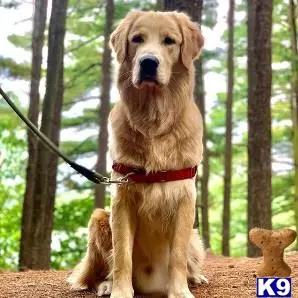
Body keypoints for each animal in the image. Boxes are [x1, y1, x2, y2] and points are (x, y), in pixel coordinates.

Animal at [68, 10, 206, 296]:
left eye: (169, 41)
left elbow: (178, 255)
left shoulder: (185, 200)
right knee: (98, 272)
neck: (154, 118)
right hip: (99, 218)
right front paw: (120, 290)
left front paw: (180, 290)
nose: (148, 62)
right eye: (137, 39)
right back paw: (106, 284)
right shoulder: (122, 198)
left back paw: (195, 277)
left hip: (196, 238)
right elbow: (122, 254)